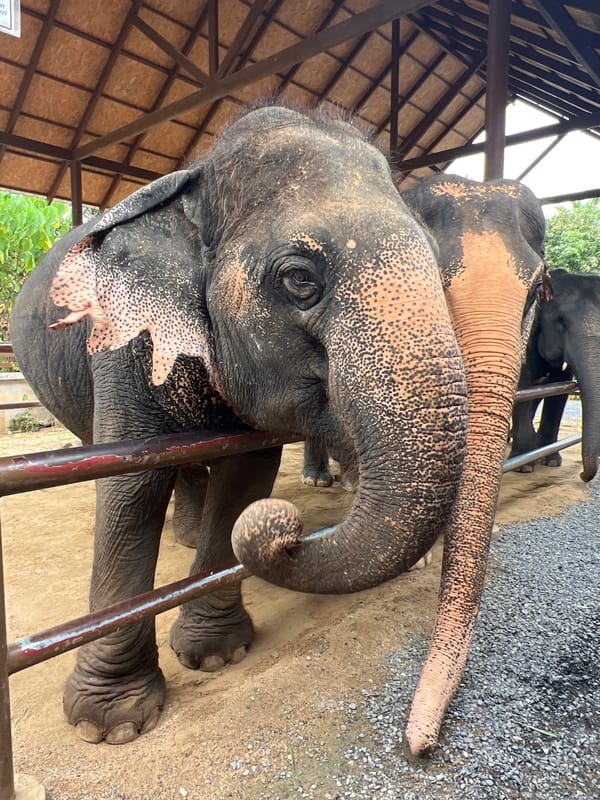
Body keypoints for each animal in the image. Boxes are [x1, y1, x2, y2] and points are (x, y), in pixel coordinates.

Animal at [11, 104, 473, 754]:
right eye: (300, 278)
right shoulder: (123, 341)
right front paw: (110, 723)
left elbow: (245, 477)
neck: (198, 184)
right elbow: (130, 488)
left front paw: (214, 656)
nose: (288, 530)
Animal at [510, 269, 599, 481]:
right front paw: (523, 467)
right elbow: (523, 384)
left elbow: (560, 387)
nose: (582, 475)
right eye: (561, 322)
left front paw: (551, 462)